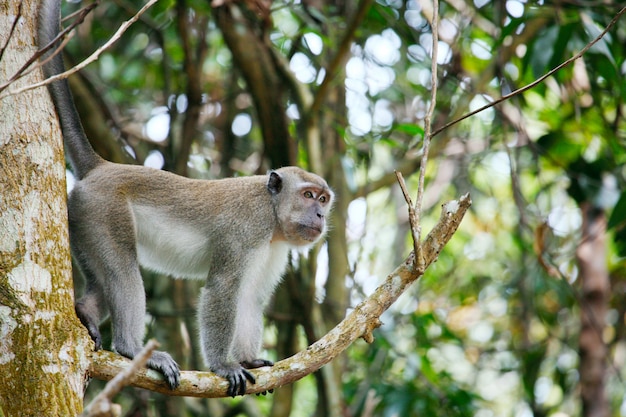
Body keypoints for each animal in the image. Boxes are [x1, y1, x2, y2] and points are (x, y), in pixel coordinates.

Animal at [39, 0, 332, 396]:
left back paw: (86, 311)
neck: (272, 214)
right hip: (102, 211)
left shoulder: (275, 248)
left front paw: (248, 360)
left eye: (324, 199)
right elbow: (222, 291)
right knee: (123, 272)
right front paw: (224, 366)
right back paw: (131, 349)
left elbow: (249, 298)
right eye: (308, 195)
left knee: (103, 277)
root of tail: (103, 167)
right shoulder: (245, 228)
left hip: (82, 219)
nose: (319, 216)